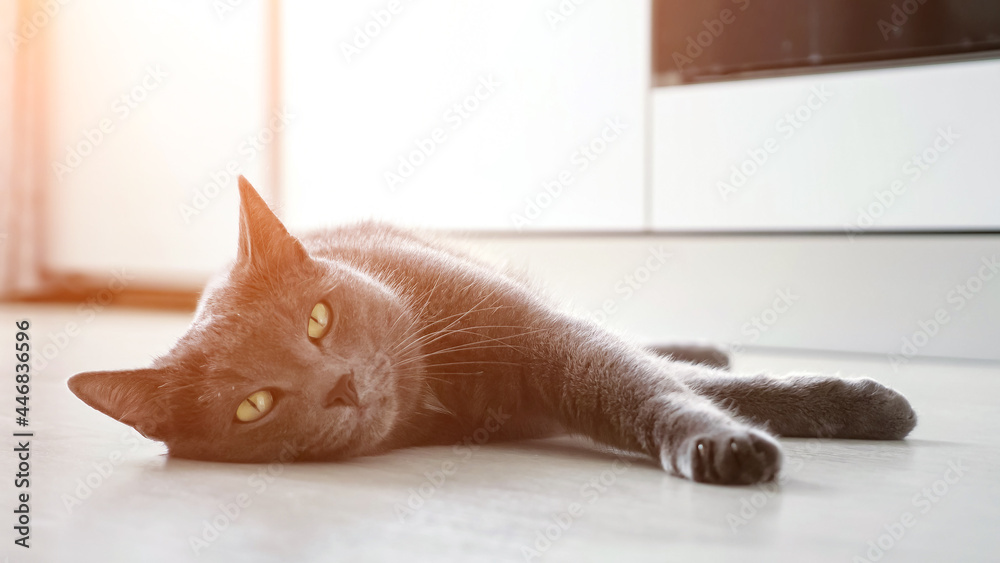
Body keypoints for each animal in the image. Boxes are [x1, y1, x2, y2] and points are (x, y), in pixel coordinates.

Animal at [66, 176, 916, 484]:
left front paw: (861, 404)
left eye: (318, 319)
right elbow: (672, 384)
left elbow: (658, 385)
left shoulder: (547, 337)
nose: (339, 385)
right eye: (254, 405)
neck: (442, 390)